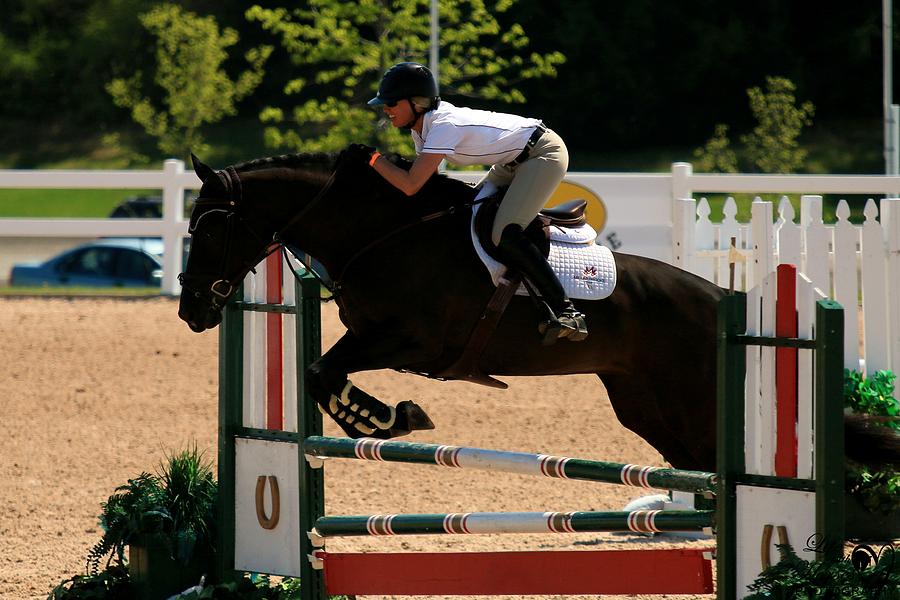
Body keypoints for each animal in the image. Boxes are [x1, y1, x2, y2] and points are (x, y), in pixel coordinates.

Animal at [178, 149, 900, 474]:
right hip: (648, 407)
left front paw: (389, 419)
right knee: (697, 461)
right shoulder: (374, 338)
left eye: (209, 227)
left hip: (694, 399)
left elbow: (322, 372)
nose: (190, 310)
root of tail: (723, 303)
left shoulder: (412, 341)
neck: (378, 231)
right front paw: (386, 418)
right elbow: (318, 373)